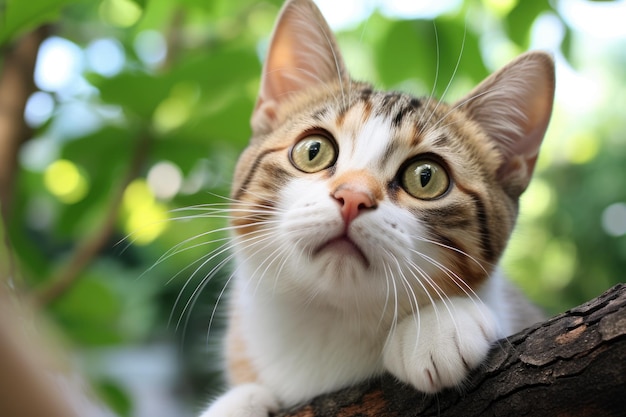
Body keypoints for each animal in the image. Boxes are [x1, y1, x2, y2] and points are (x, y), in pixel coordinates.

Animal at [199, 0, 552, 414]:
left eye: (426, 177)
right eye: (313, 150)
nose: (353, 196)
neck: (335, 321)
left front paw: (439, 325)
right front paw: (240, 400)